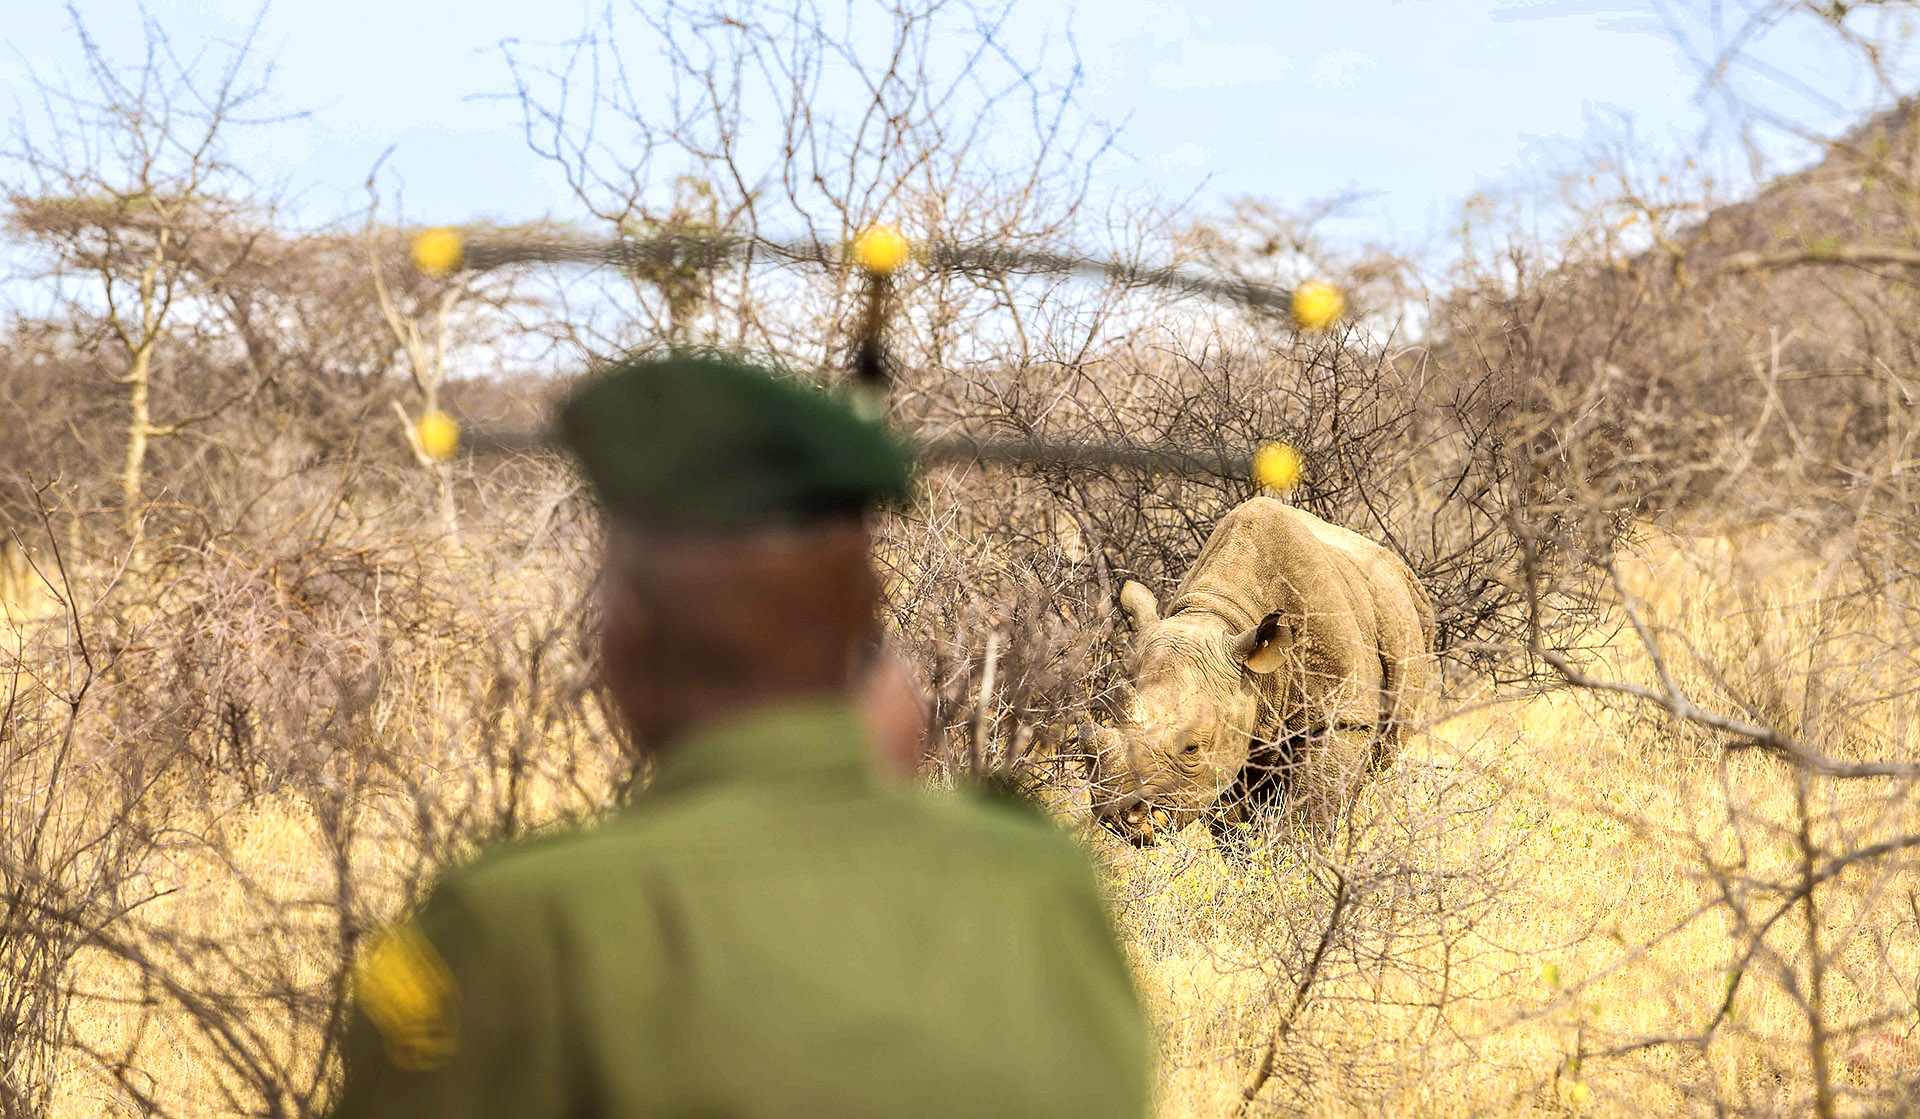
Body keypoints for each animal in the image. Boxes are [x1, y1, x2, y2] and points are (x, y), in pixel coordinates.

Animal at [1086, 496, 1435, 853]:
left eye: (1192, 748)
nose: (1118, 815)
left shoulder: (1343, 719)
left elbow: (1313, 811)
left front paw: (1297, 863)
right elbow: (1231, 826)